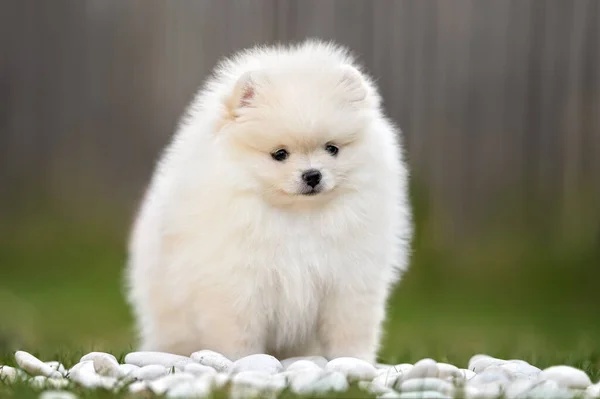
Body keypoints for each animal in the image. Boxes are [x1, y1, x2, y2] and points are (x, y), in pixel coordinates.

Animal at [126, 39, 412, 364]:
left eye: (332, 149)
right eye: (280, 154)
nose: (312, 175)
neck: (299, 216)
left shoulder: (350, 282)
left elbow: (350, 330)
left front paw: (354, 362)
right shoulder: (236, 287)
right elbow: (239, 335)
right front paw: (241, 362)